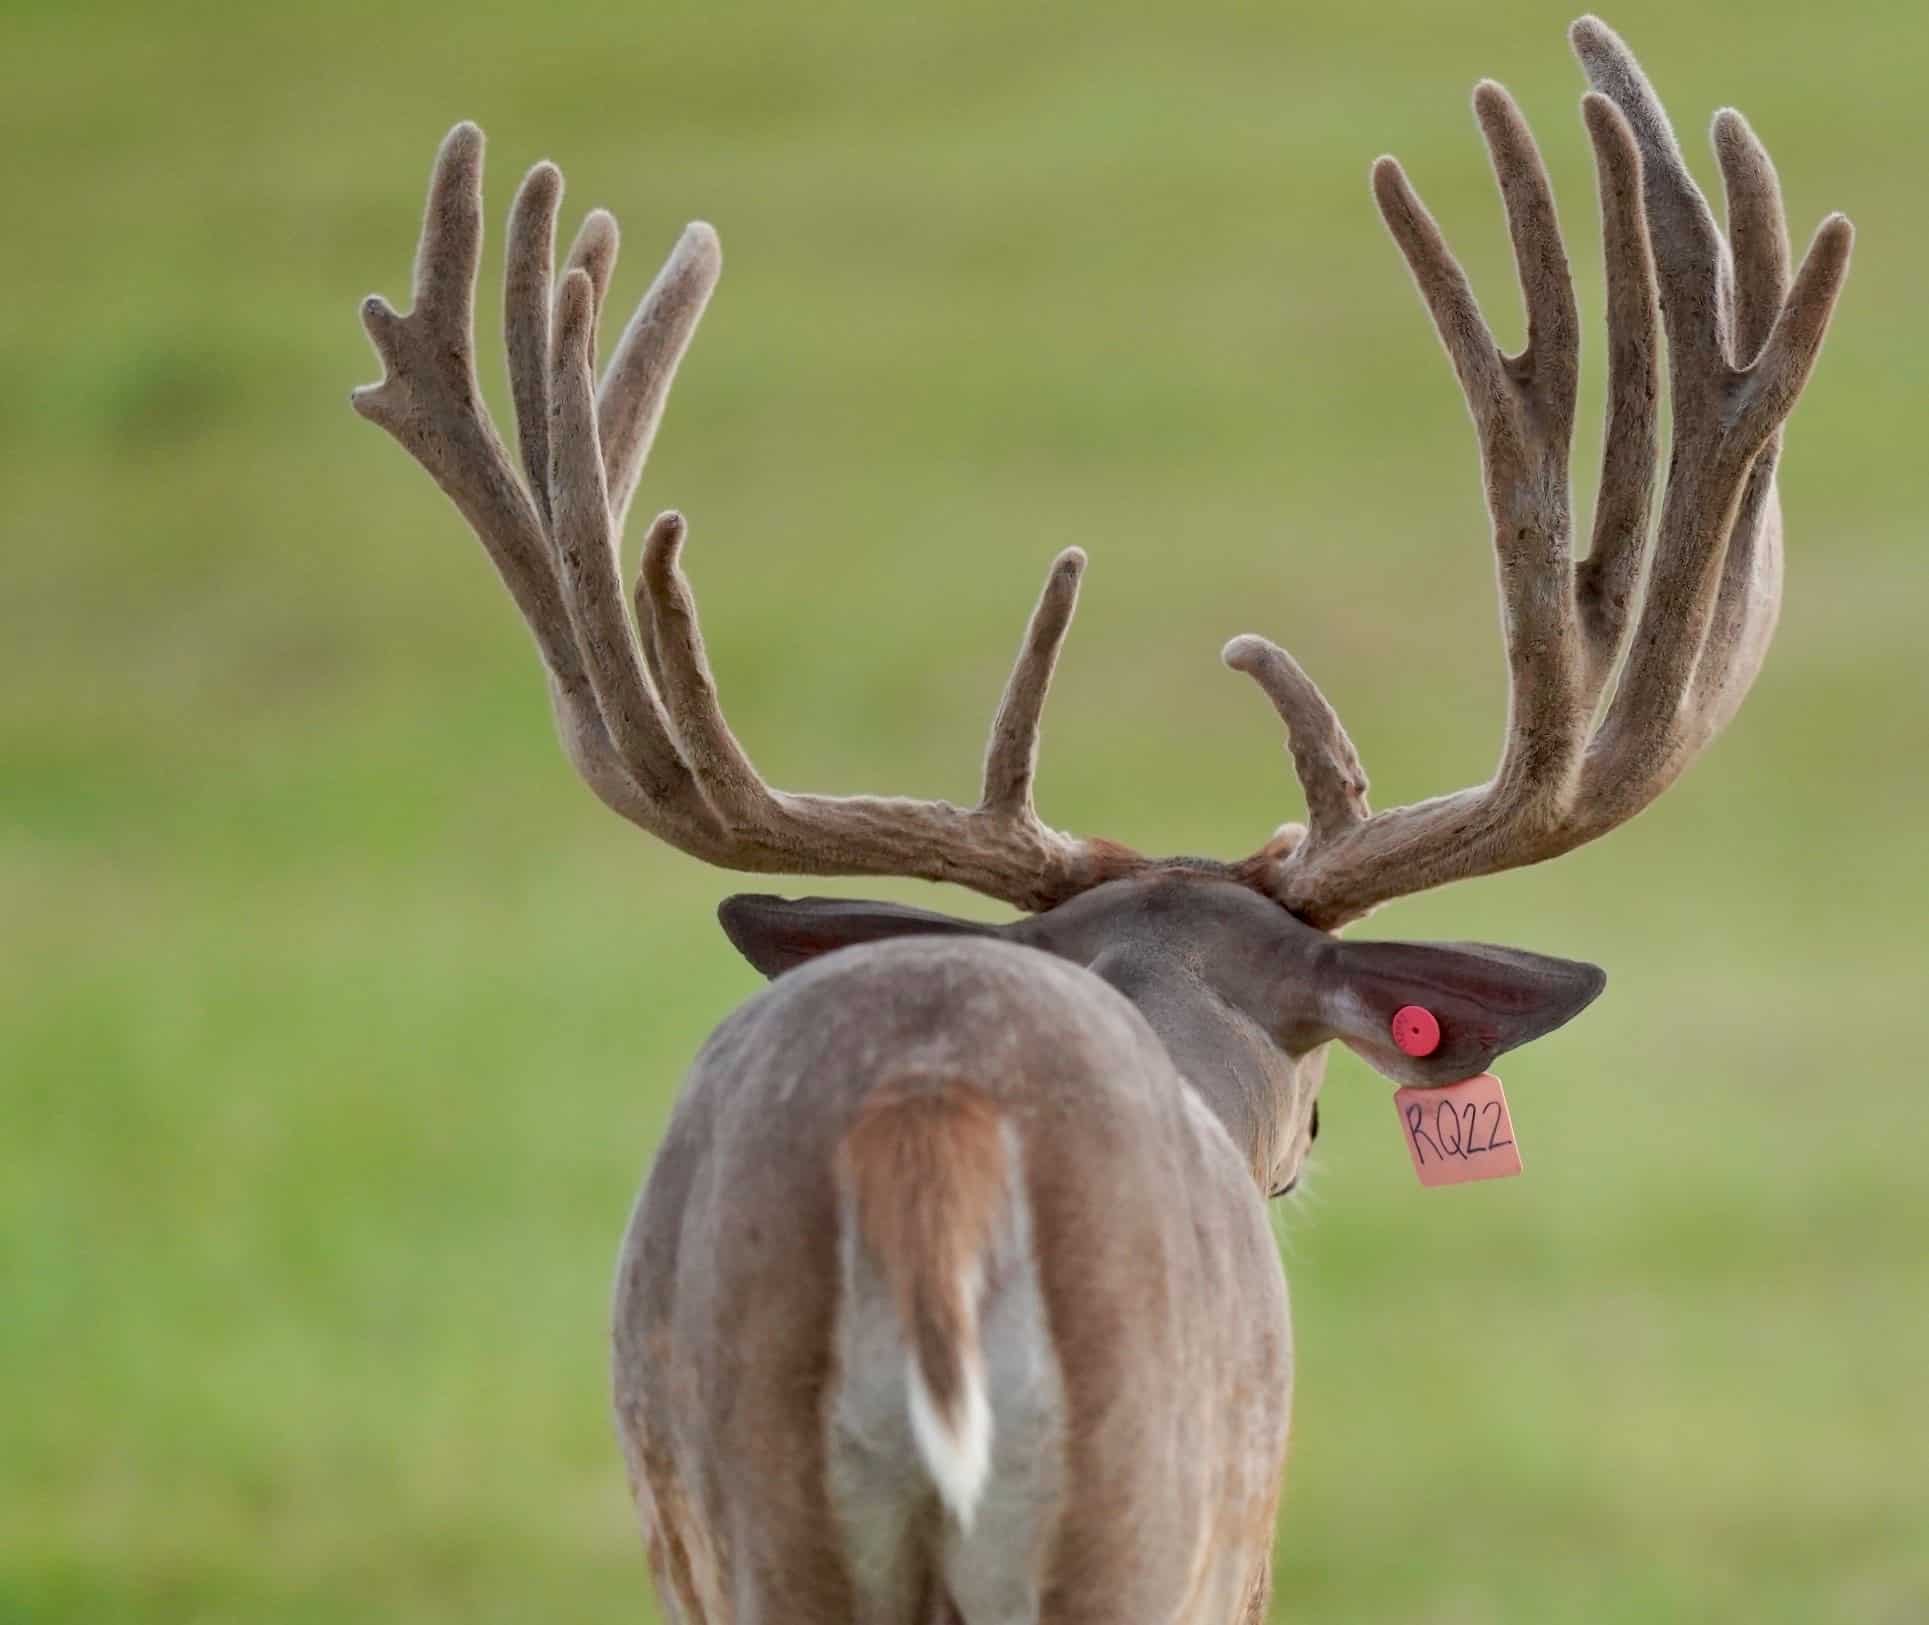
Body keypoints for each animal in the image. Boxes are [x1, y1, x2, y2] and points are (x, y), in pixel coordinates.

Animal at [350, 15, 1850, 1624]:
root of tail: (927, 1119)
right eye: (1318, 1099)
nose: (1292, 1163)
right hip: (1134, 1510)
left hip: (750, 1510)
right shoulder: (1235, 1553)